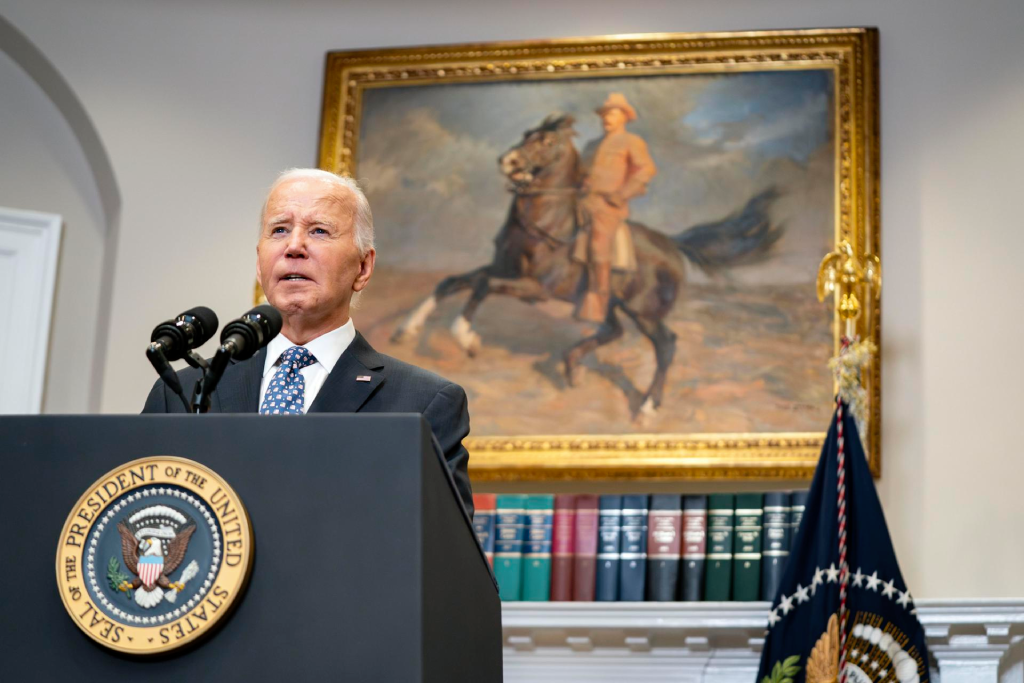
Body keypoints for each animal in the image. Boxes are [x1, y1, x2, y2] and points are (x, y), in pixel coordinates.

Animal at [393, 112, 782, 421]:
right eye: (525, 133)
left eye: (547, 140)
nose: (507, 160)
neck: (547, 225)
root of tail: (672, 244)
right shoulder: (504, 269)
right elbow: (453, 282)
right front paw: (407, 330)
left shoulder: (534, 288)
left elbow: (482, 286)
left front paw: (467, 338)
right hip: (608, 302)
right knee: (613, 331)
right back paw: (572, 365)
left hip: (644, 313)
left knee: (665, 345)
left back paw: (646, 406)